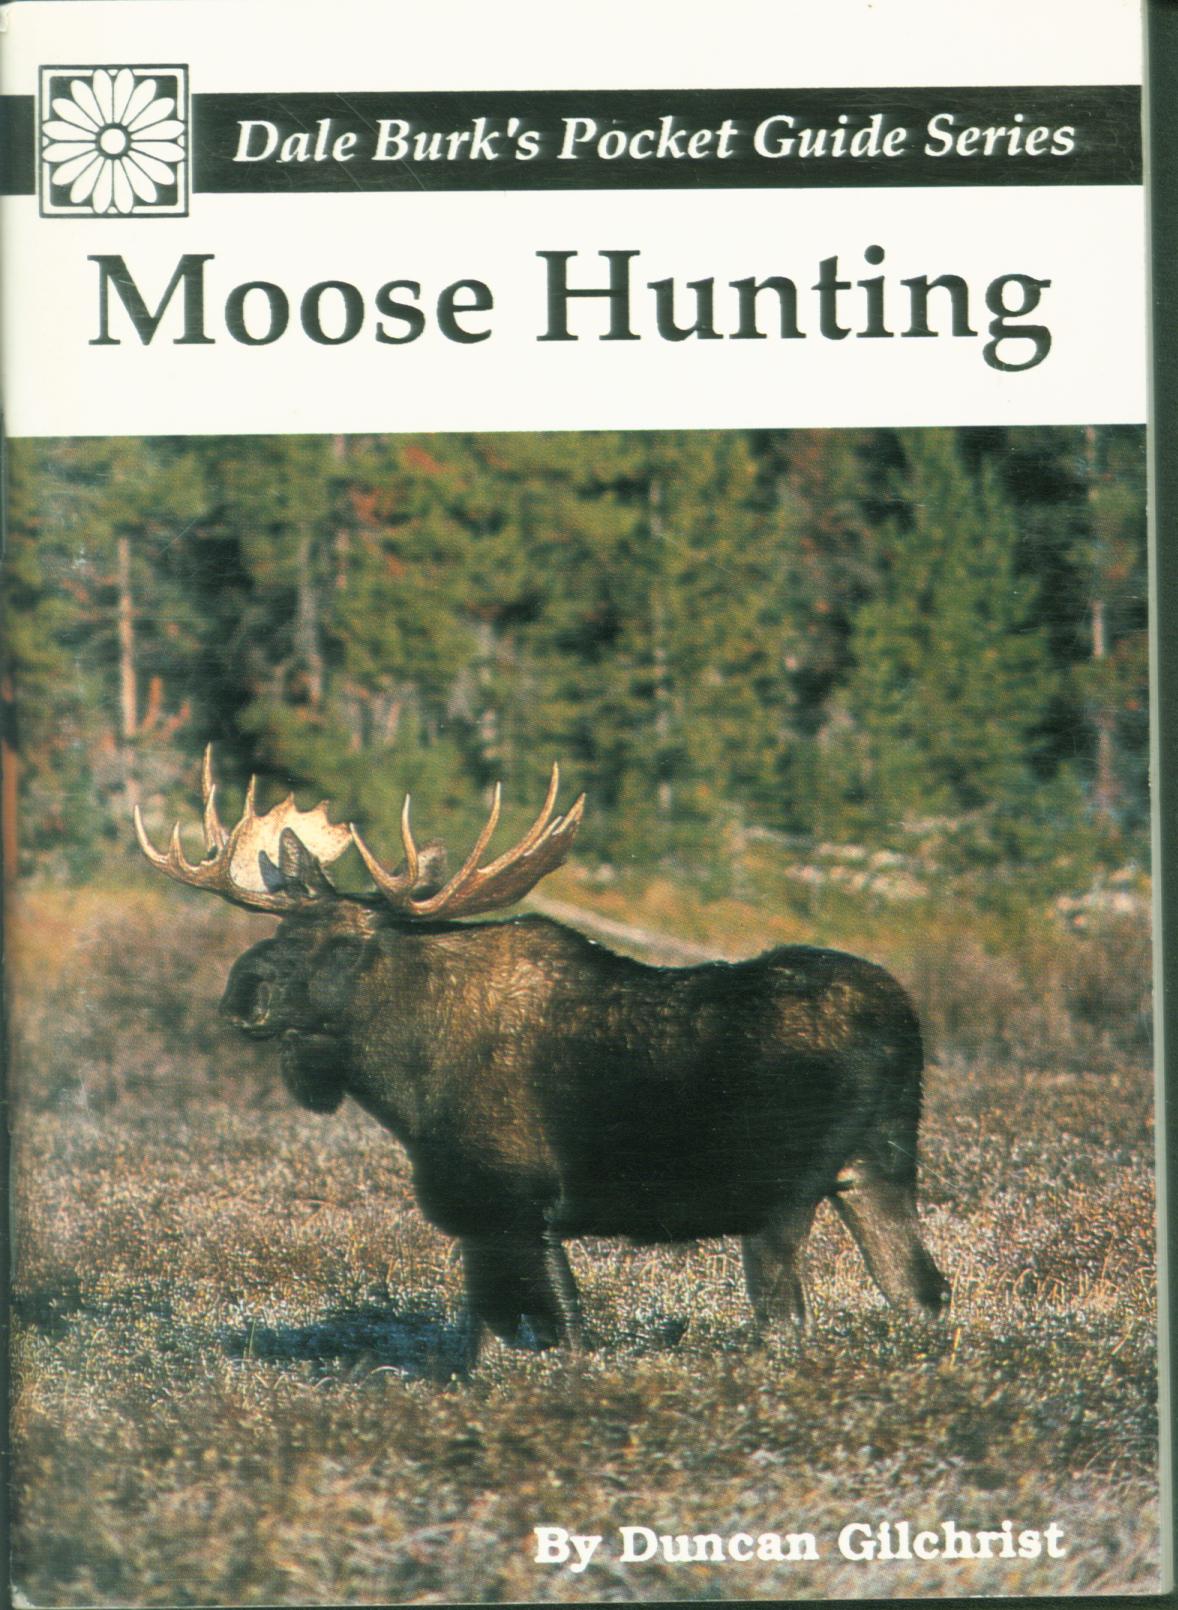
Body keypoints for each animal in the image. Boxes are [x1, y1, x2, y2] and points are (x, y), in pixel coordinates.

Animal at [135, 749, 949, 1359]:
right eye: (277, 931)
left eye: (344, 944)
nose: (242, 993)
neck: (403, 1085)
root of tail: (903, 1019)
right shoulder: (473, 1219)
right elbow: (479, 1346)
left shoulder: (519, 1206)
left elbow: (560, 1339)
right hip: (877, 1167)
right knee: (925, 1293)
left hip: (779, 1194)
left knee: (789, 1322)